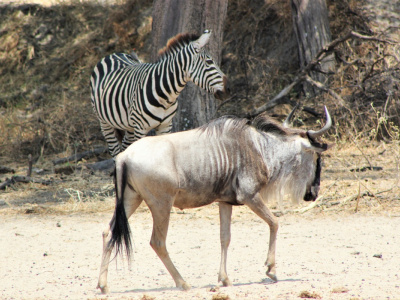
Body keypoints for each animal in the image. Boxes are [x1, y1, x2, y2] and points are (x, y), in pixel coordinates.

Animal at [90, 29, 228, 158]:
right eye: (209, 62)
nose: (228, 89)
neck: (166, 97)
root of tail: (113, 54)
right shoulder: (140, 129)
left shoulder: (165, 126)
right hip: (104, 121)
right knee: (114, 150)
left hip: (129, 125)